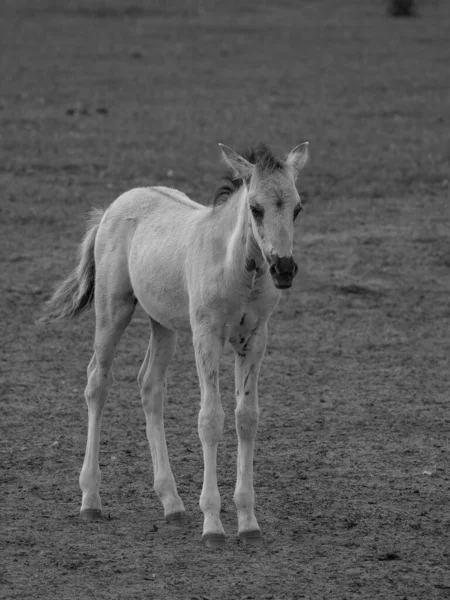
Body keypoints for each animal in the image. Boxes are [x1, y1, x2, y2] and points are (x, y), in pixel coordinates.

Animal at [41, 142, 310, 548]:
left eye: (297, 208)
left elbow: (246, 418)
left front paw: (248, 522)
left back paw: (172, 503)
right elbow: (210, 419)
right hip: (113, 311)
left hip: (163, 324)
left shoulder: (255, 339)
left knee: (150, 385)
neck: (234, 267)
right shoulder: (206, 336)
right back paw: (91, 500)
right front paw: (213, 524)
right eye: (256, 208)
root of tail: (112, 208)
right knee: (97, 383)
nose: (283, 269)